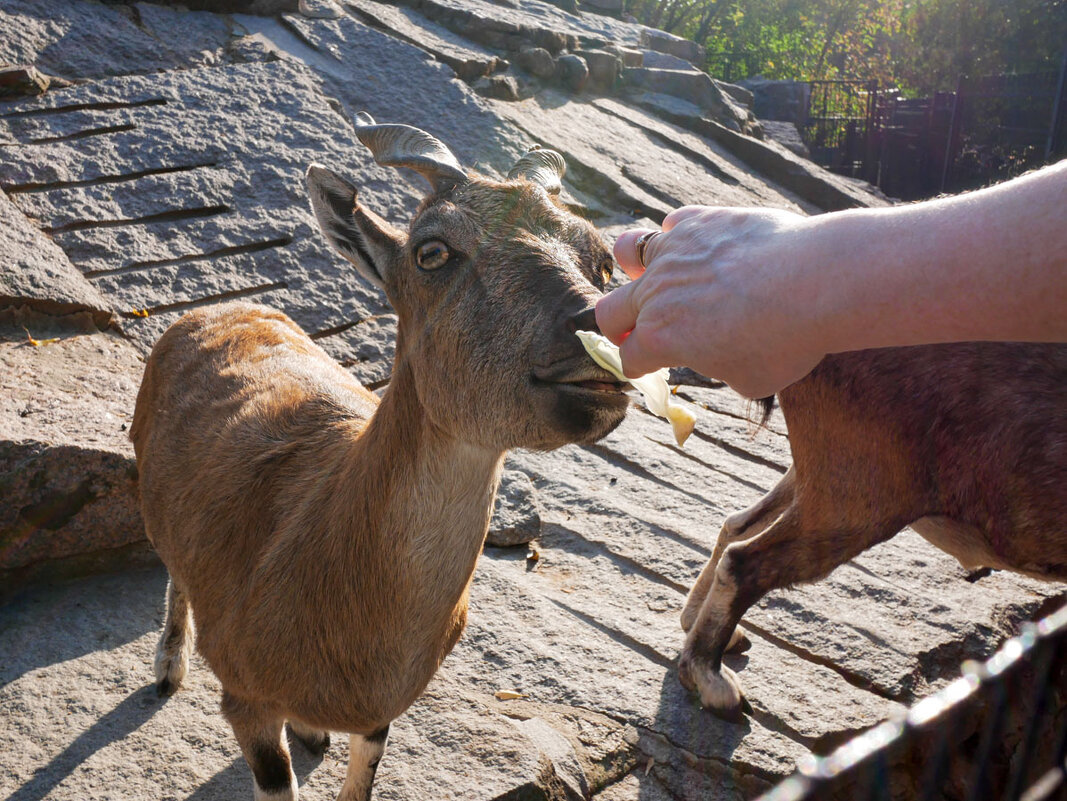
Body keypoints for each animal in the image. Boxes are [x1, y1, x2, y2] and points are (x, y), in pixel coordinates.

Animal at [132, 114, 627, 801]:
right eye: (432, 251)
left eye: (603, 261)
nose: (595, 337)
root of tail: (217, 308)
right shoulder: (245, 698)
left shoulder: (382, 711)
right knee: (173, 568)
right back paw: (168, 669)